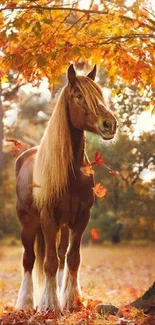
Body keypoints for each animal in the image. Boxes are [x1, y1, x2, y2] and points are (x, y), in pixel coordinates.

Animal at [15, 64, 117, 314]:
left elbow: (72, 258)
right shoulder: (48, 218)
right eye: (79, 96)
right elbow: (49, 262)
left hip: (62, 225)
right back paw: (25, 303)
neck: (72, 173)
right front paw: (49, 305)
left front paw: (70, 301)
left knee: (61, 255)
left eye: (100, 95)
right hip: (28, 223)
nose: (109, 124)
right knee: (29, 260)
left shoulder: (81, 218)